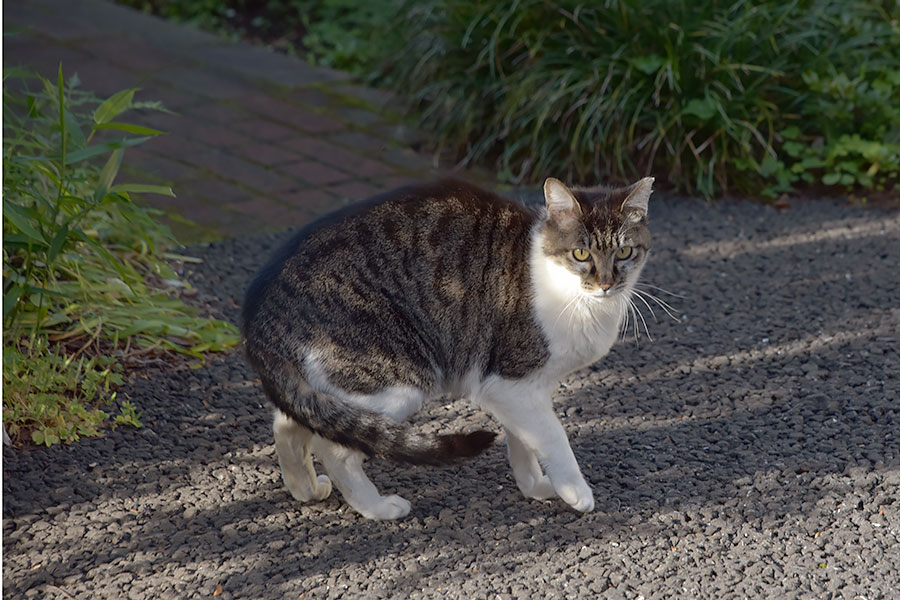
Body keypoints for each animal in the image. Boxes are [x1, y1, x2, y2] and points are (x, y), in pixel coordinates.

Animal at [243, 176, 652, 516]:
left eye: (625, 252)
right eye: (581, 255)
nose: (606, 283)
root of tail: (260, 312)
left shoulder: (522, 390)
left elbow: (524, 442)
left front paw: (535, 485)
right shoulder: (512, 383)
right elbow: (553, 437)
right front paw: (575, 491)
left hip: (328, 385)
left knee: (295, 422)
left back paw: (307, 490)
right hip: (398, 378)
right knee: (335, 447)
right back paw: (377, 508)